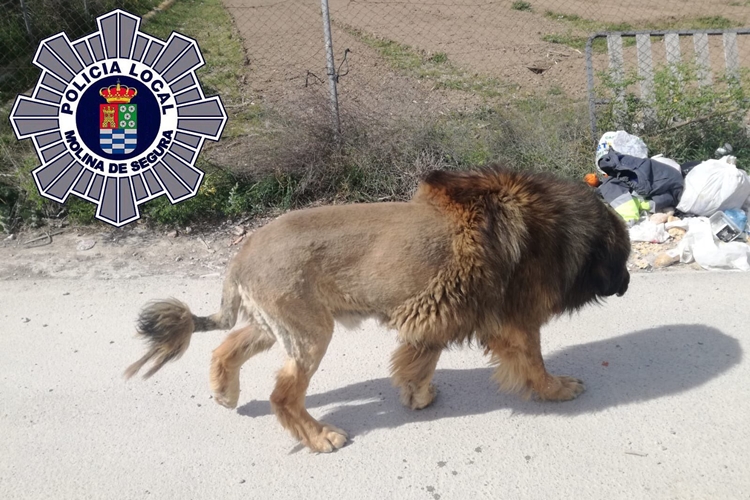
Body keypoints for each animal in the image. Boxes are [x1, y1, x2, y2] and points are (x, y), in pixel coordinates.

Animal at [125, 166, 631, 453]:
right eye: (624, 256)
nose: (627, 284)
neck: (555, 227)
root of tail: (242, 252)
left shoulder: (440, 313)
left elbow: (420, 360)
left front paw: (417, 396)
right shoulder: (514, 321)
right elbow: (534, 364)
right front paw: (557, 389)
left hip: (276, 326)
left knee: (225, 348)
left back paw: (225, 393)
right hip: (310, 333)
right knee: (282, 396)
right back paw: (321, 438)